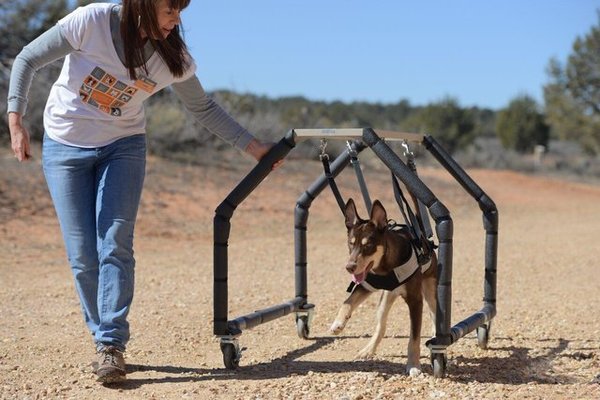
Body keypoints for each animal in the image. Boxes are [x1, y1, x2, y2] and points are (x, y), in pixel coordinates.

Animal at [328, 198, 436, 376]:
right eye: (350, 244)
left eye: (367, 245)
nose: (349, 267)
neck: (386, 268)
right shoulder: (365, 286)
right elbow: (347, 303)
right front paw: (338, 324)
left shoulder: (415, 301)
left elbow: (414, 338)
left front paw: (413, 365)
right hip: (384, 301)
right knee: (381, 327)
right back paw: (368, 350)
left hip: (430, 290)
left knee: (435, 314)